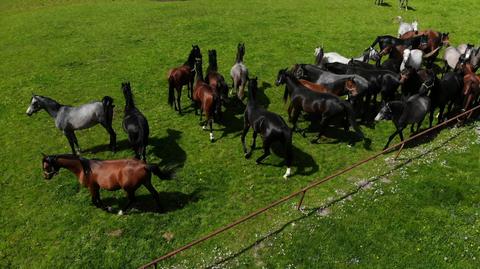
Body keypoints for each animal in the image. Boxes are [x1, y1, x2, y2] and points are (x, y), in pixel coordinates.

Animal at [41, 153, 172, 214]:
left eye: (46, 166)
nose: (46, 177)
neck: (83, 168)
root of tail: (144, 165)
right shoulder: (96, 187)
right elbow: (98, 199)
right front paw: (106, 207)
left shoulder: (92, 187)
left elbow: (95, 201)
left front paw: (107, 208)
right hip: (146, 182)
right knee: (155, 194)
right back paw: (160, 209)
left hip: (128, 188)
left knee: (132, 199)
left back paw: (121, 211)